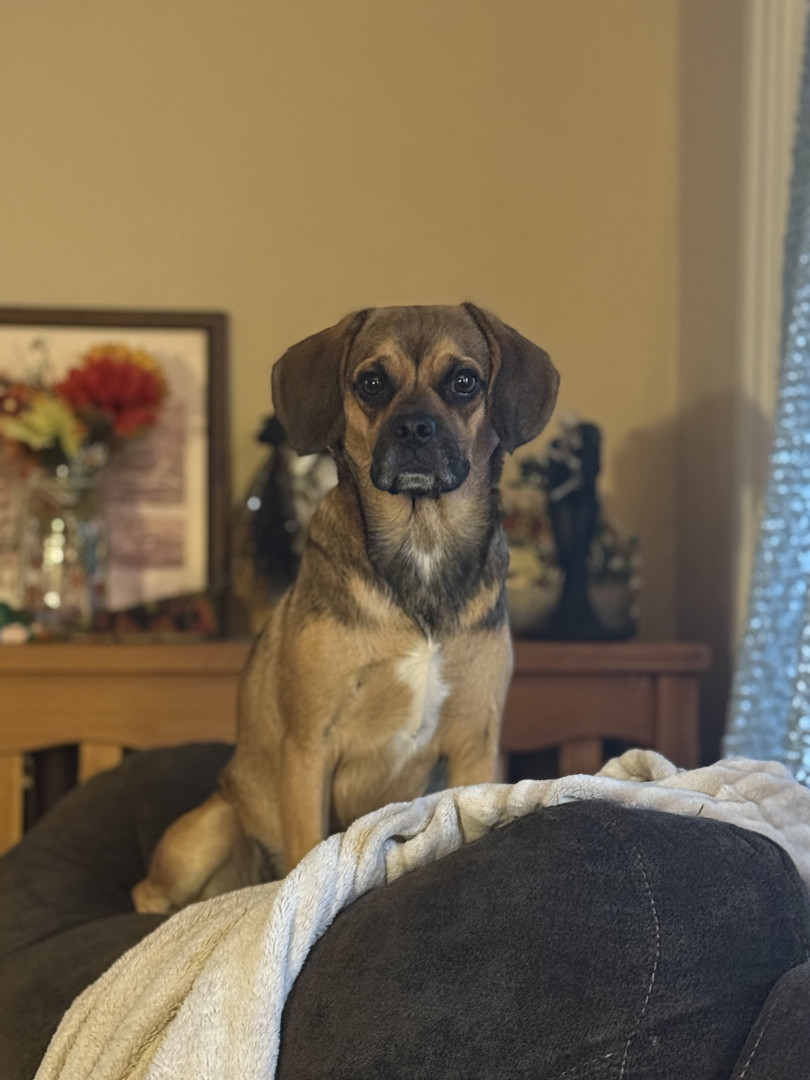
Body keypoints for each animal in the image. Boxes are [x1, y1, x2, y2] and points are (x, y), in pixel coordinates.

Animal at [132, 304, 558, 913]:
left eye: (465, 381)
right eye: (372, 382)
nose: (415, 429)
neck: (421, 545)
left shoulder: (475, 743)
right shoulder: (310, 746)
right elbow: (307, 850)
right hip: (209, 830)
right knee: (152, 893)